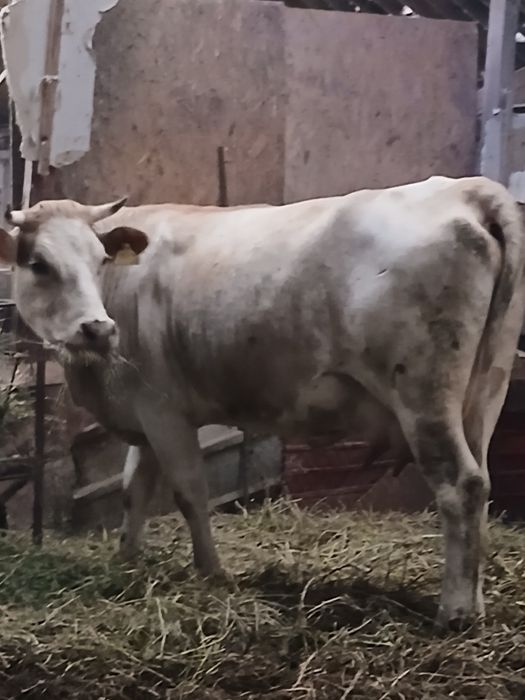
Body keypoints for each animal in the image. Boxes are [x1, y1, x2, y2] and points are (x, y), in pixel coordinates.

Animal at [0, 175, 523, 629]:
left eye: (99, 260)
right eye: (39, 263)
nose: (98, 328)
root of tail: (466, 189)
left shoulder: (164, 409)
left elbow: (189, 492)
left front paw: (212, 573)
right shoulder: (142, 417)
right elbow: (134, 489)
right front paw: (127, 560)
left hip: (423, 396)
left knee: (461, 485)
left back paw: (455, 613)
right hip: (485, 392)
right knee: (481, 481)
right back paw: (475, 601)